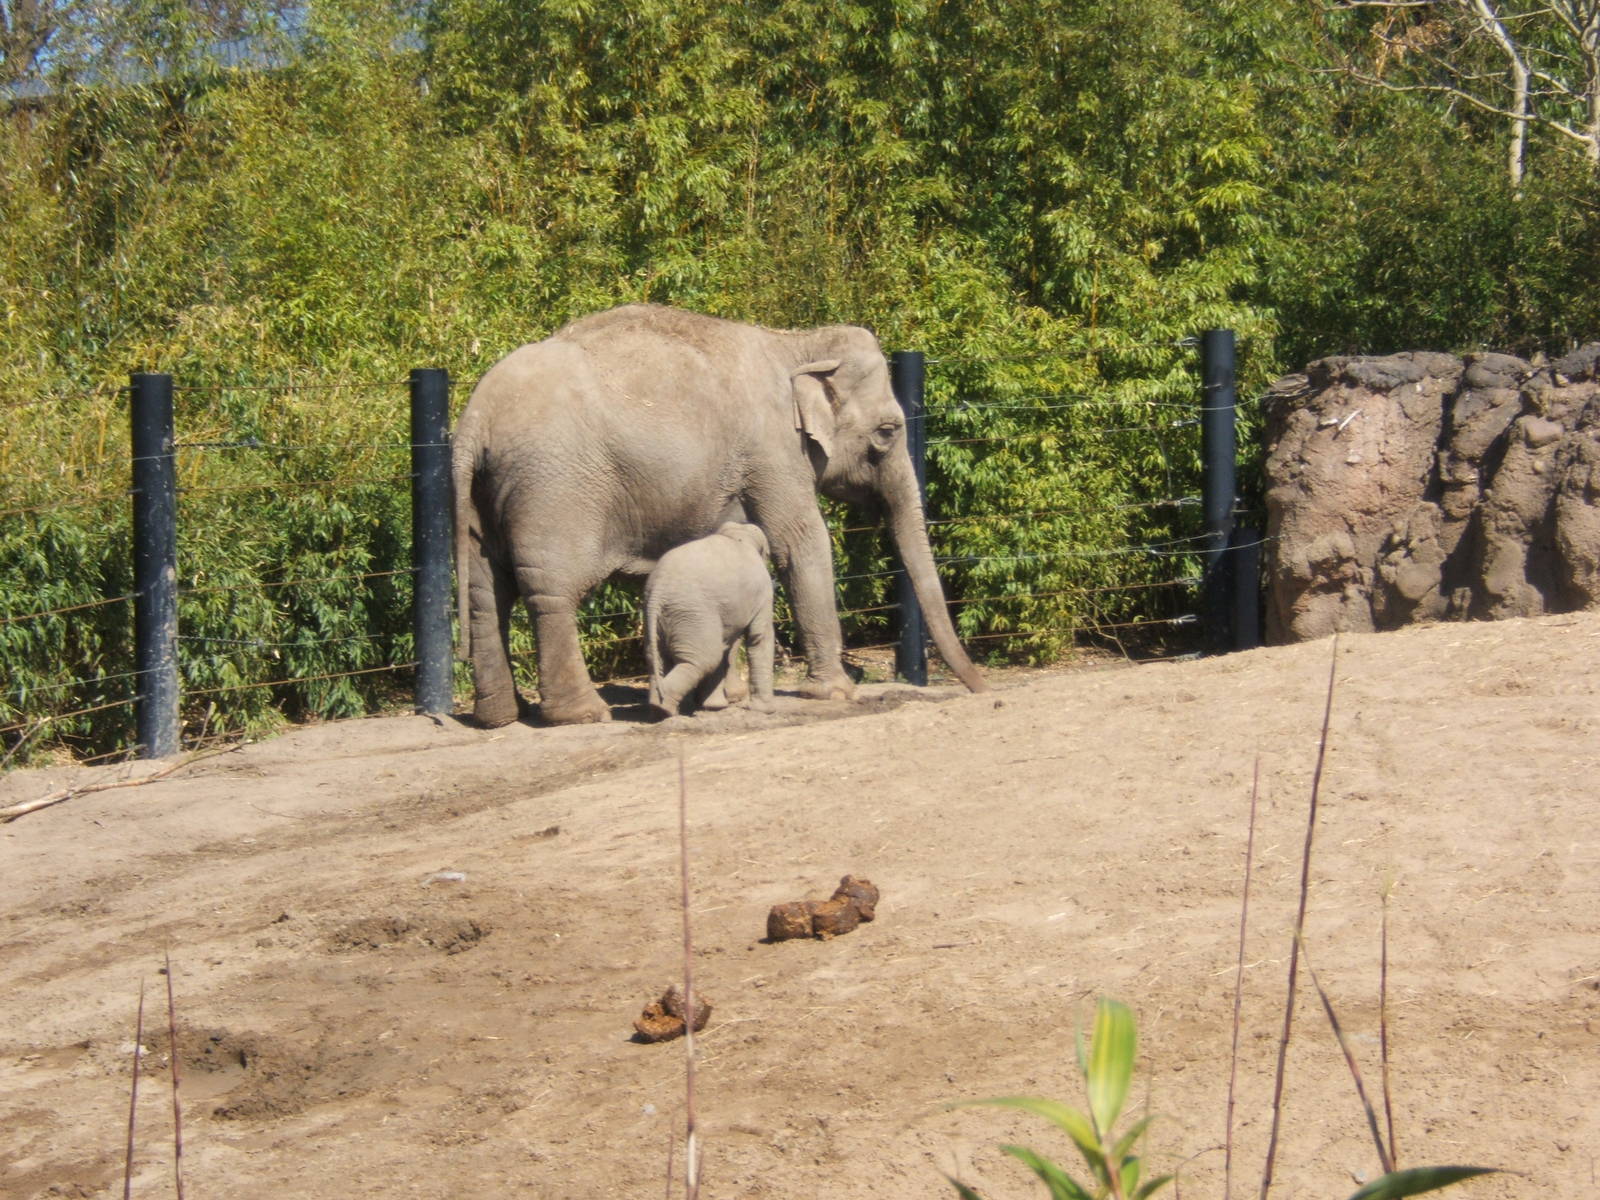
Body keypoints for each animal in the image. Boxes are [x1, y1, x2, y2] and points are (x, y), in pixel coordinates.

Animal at [645, 521, 775, 718]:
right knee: (704, 659)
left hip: (662, 618)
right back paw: (665, 707)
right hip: (694, 613)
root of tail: (658, 592)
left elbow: (727, 644)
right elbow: (759, 637)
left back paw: (657, 707)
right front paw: (765, 710)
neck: (737, 534)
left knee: (657, 658)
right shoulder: (763, 592)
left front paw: (713, 706)